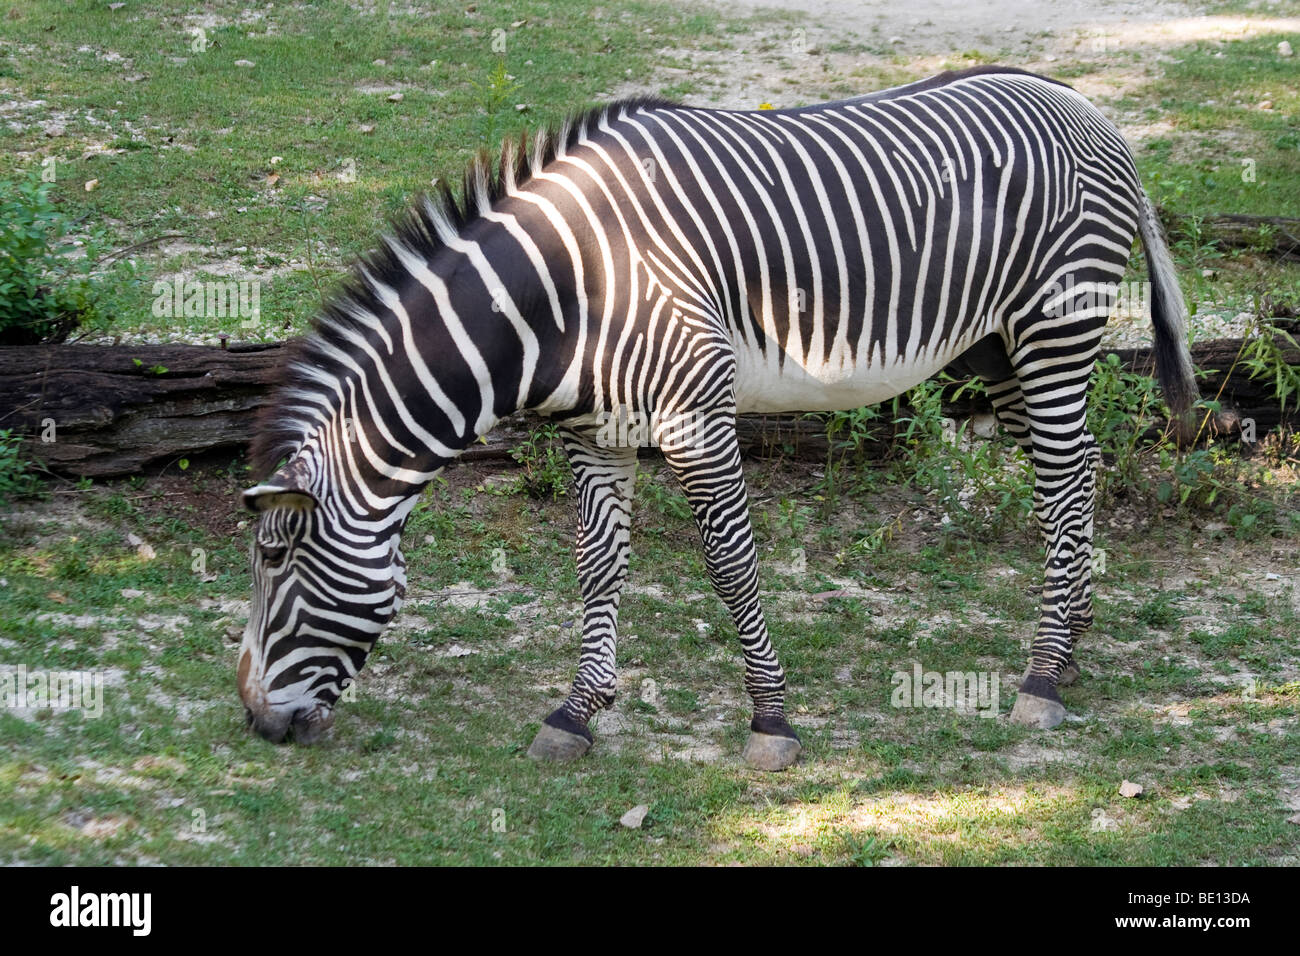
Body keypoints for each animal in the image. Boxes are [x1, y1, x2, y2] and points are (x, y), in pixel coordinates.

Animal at [238, 66, 1198, 769]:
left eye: (276, 564)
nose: (254, 723)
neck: (567, 290)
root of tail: (1085, 103)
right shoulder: (592, 433)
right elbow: (597, 567)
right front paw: (578, 712)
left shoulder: (696, 416)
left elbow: (731, 564)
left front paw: (771, 721)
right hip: (998, 349)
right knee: (1076, 474)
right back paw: (1069, 649)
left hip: (1055, 325)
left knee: (1065, 484)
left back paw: (1042, 677)